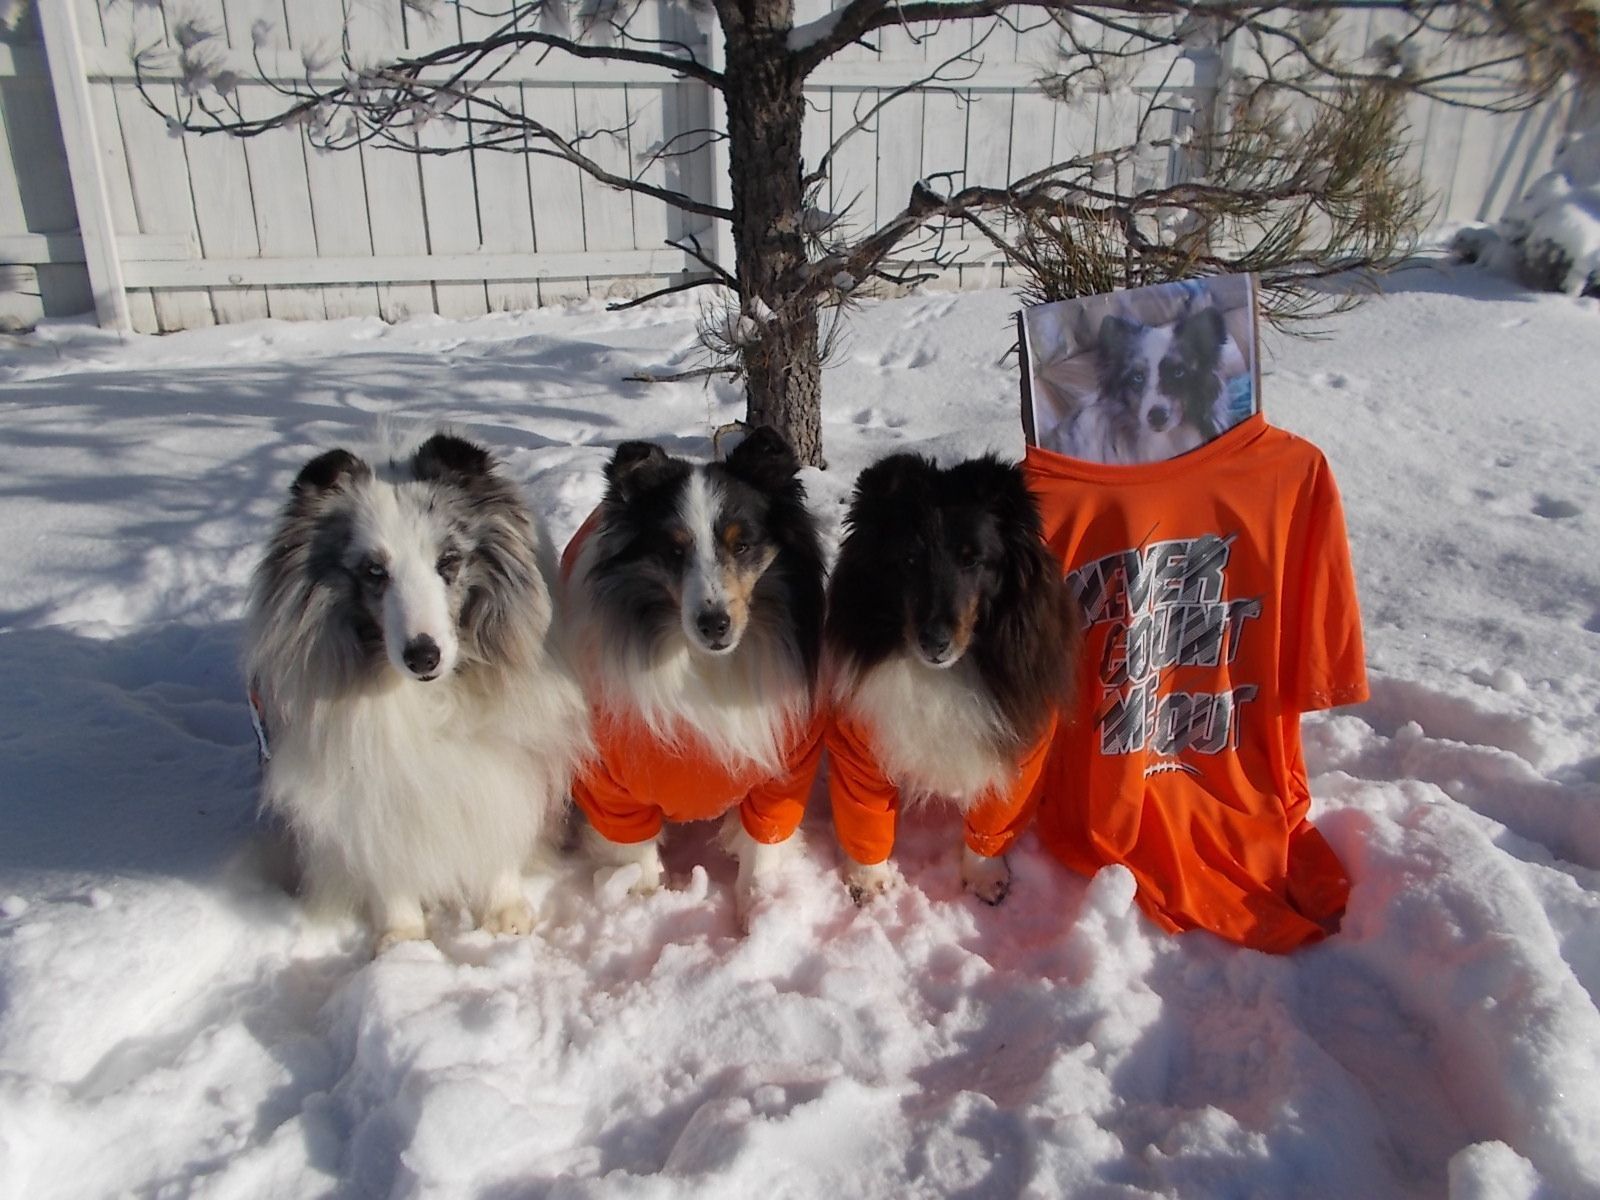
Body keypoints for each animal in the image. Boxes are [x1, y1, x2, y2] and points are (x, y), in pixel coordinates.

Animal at [244, 432, 589, 952]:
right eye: (373, 571)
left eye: (448, 561)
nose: (423, 656)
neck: (430, 701)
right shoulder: (371, 797)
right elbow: (388, 868)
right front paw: (402, 940)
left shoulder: (504, 765)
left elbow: (498, 831)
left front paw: (504, 916)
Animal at [562, 427, 826, 920]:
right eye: (674, 549)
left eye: (742, 544)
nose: (714, 624)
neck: (706, 666)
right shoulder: (612, 789)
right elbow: (638, 861)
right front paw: (646, 910)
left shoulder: (780, 774)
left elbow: (761, 853)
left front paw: (755, 914)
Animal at [825, 453, 1080, 905]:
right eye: (908, 560)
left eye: (972, 559)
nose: (934, 642)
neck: (945, 673)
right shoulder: (857, 748)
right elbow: (864, 820)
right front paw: (868, 882)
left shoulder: (1018, 750)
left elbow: (993, 823)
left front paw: (985, 878)